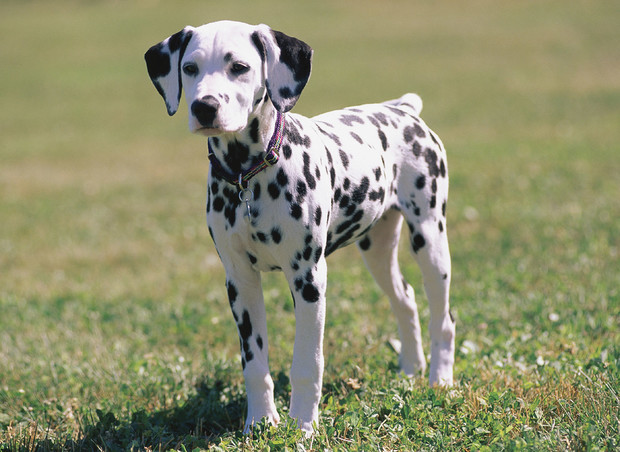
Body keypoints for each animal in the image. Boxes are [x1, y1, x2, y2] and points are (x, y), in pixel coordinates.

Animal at [145, 21, 456, 434]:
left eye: (239, 67)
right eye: (189, 68)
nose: (204, 107)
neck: (250, 174)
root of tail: (402, 109)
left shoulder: (308, 279)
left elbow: (307, 364)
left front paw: (303, 427)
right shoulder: (240, 283)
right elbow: (254, 364)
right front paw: (260, 422)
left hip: (430, 239)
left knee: (444, 318)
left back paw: (440, 380)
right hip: (376, 249)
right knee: (404, 298)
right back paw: (411, 369)